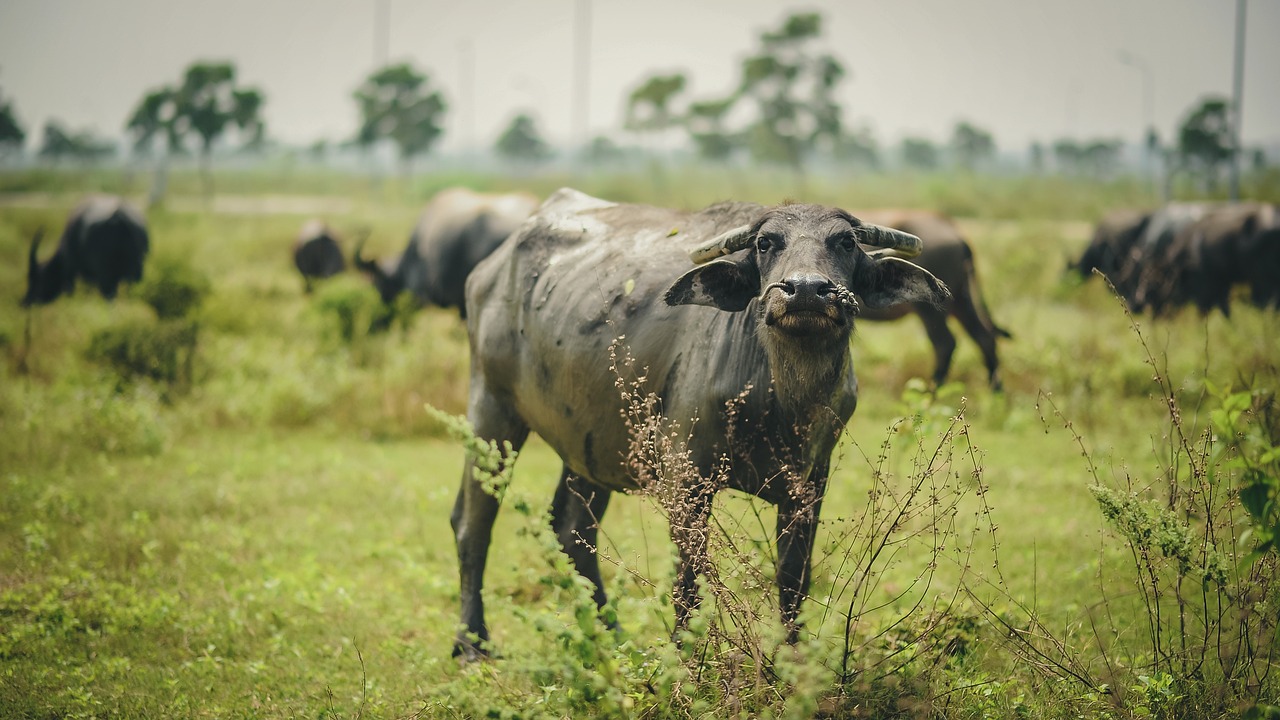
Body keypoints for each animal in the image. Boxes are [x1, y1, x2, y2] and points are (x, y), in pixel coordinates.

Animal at [450, 188, 952, 661]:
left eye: (845, 242)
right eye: (766, 242)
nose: (806, 290)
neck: (779, 400)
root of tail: (489, 269)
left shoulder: (810, 482)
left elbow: (793, 578)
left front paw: (791, 657)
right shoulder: (685, 478)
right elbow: (688, 582)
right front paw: (684, 660)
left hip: (591, 442)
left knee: (573, 530)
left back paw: (611, 635)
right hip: (492, 412)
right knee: (473, 523)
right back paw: (473, 643)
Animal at [849, 207, 1008, 386]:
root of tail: (954, 229)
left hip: (930, 308)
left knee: (945, 343)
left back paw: (934, 387)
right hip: (961, 299)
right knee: (984, 336)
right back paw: (995, 389)